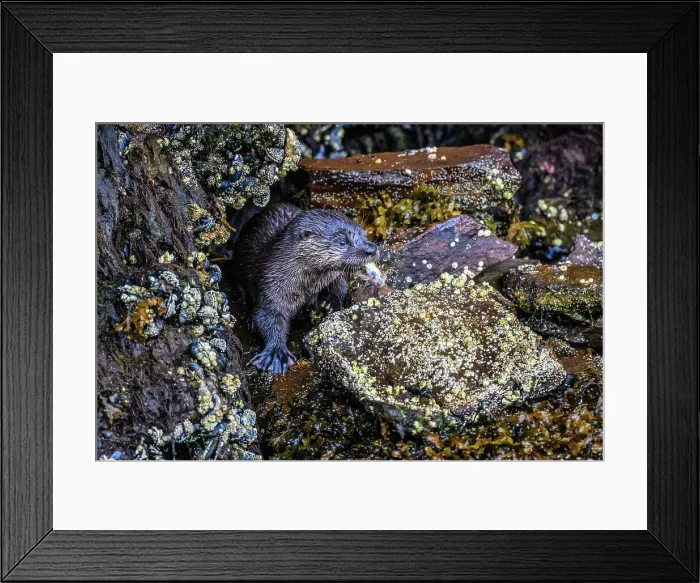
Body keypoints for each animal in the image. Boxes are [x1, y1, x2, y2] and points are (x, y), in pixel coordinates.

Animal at [233, 203, 378, 374]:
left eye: (364, 234)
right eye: (342, 242)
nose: (372, 249)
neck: (307, 286)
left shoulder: (335, 278)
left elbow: (340, 289)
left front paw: (329, 303)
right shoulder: (271, 285)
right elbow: (267, 315)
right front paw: (276, 353)